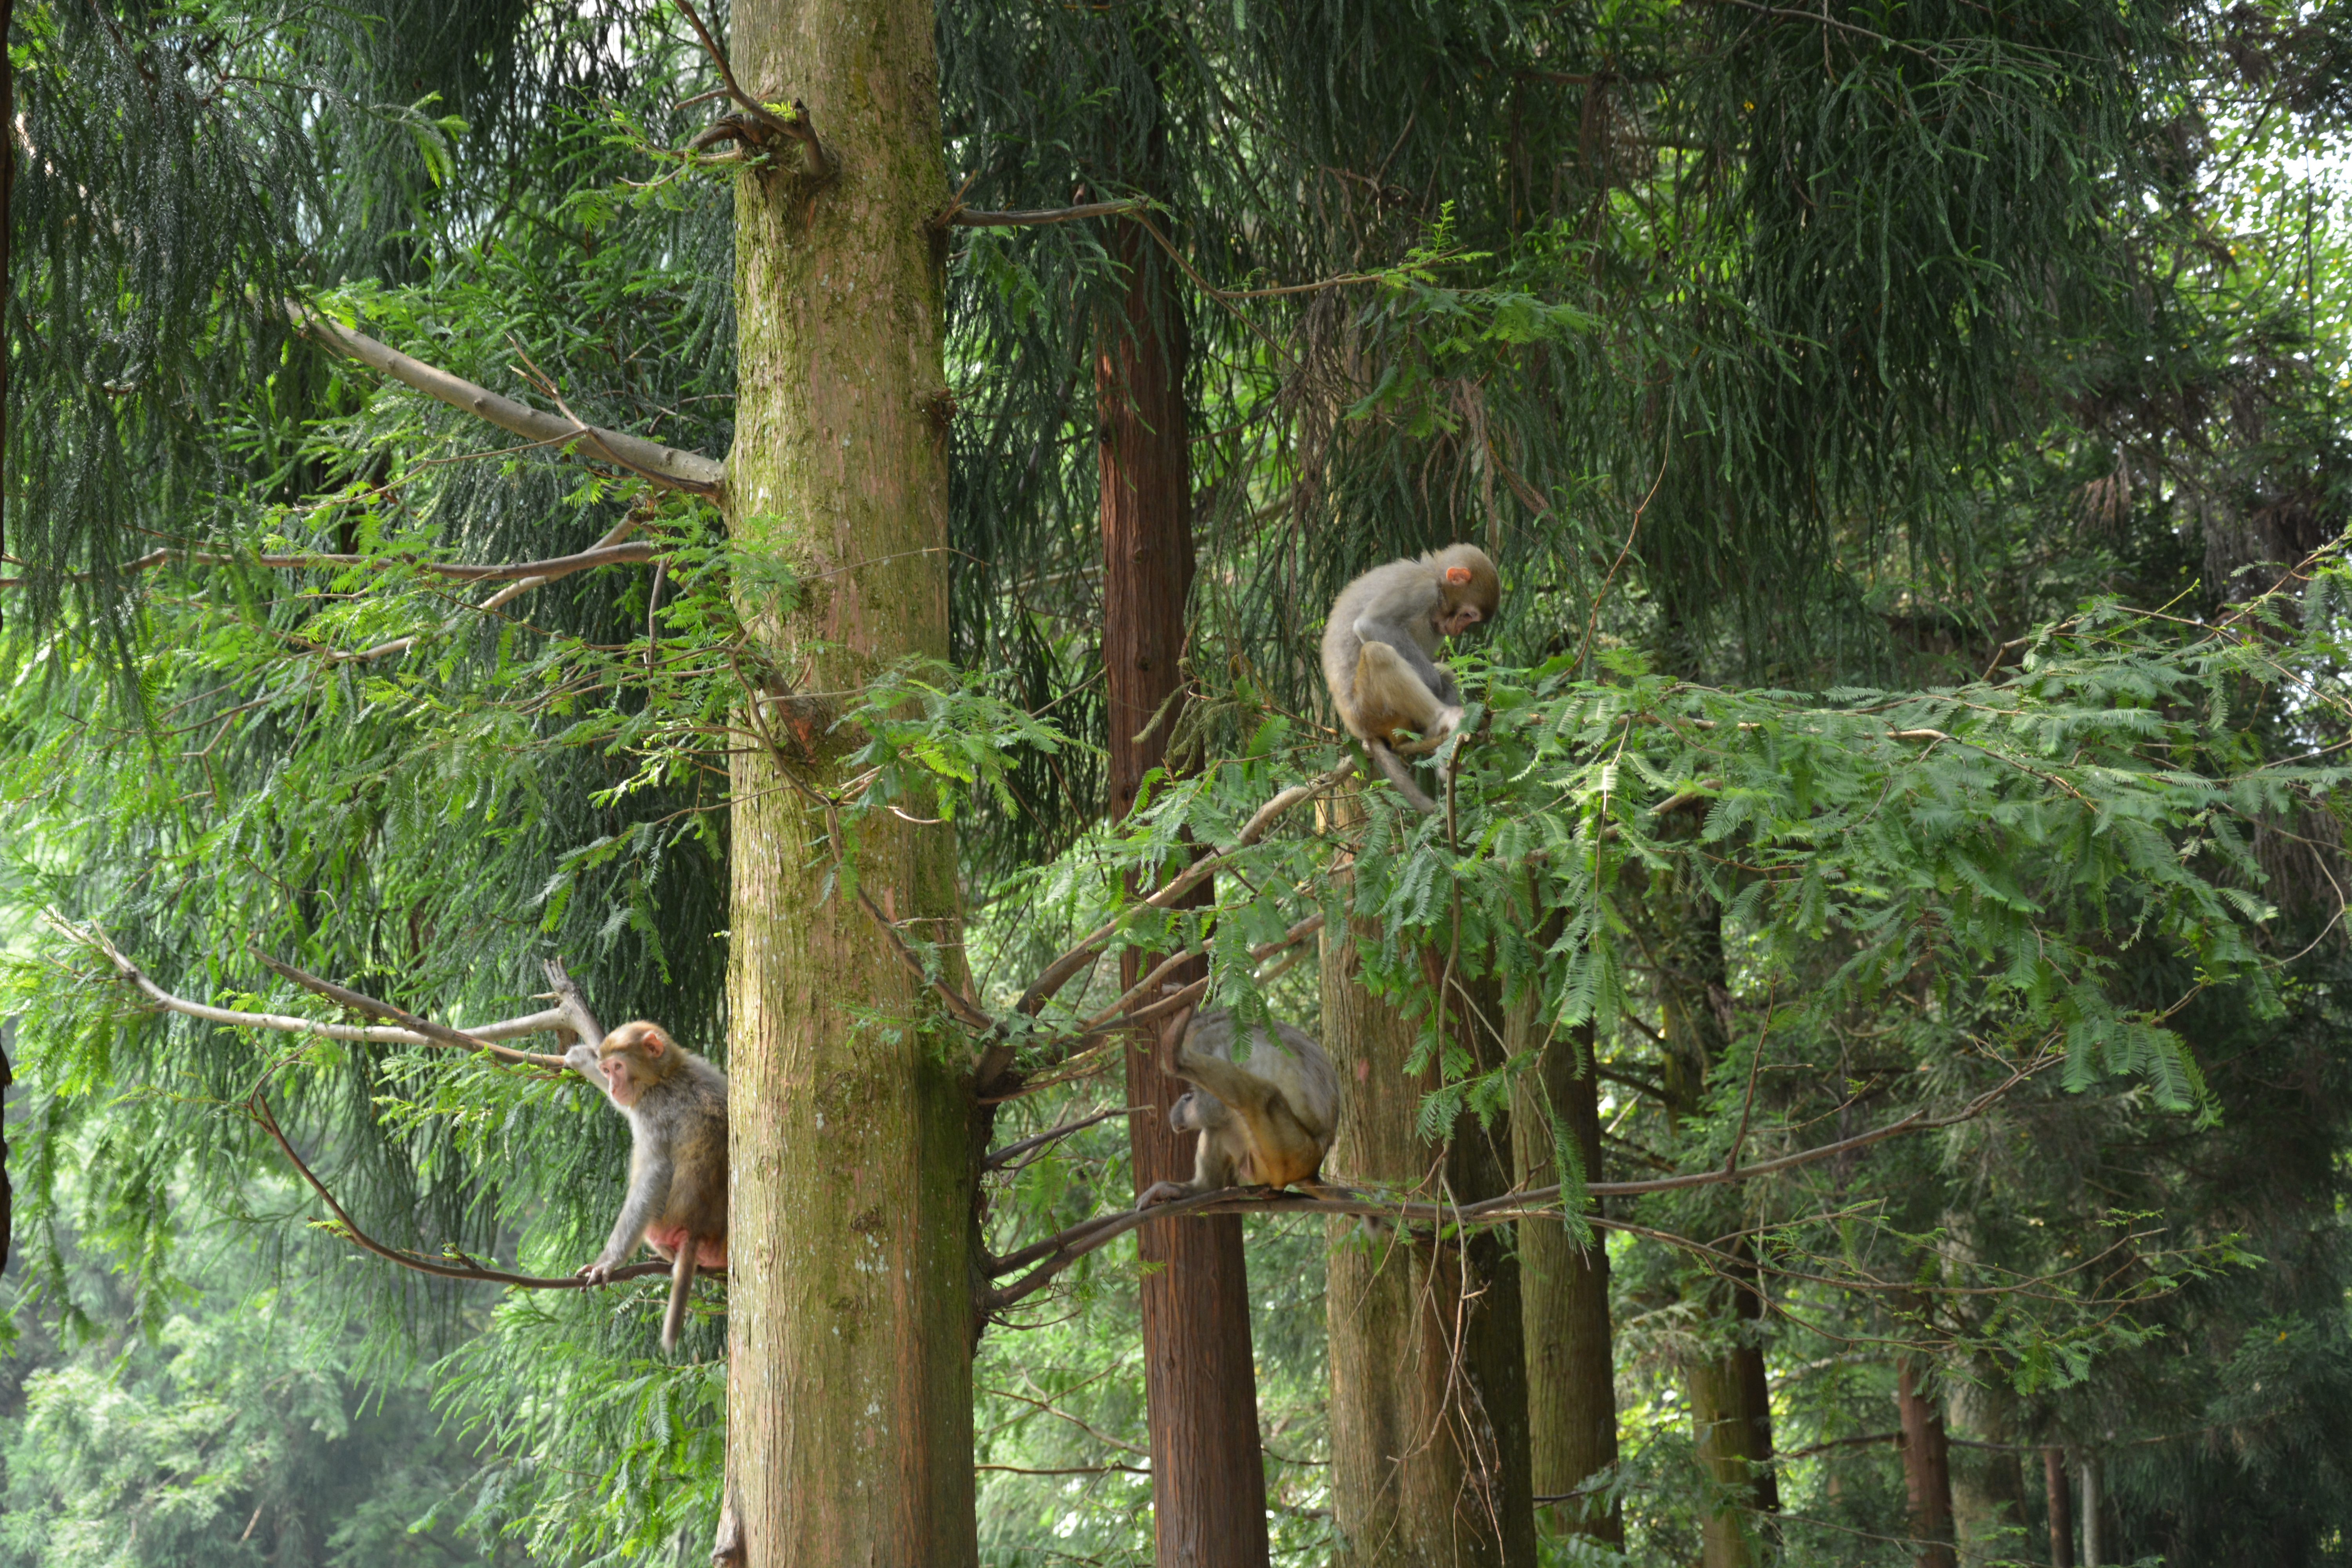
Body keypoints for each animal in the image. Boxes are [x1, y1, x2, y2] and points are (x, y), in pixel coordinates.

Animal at [567, 1025, 724, 1354]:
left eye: (618, 1068)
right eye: (607, 1070)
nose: (613, 1086)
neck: (669, 1073)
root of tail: (698, 1231)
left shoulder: (651, 1109)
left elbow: (655, 1173)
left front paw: (608, 1262)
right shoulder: (706, 1067)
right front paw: (582, 1058)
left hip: (663, 1225)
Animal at [1138, 1006, 1345, 1213]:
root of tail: (1312, 1170)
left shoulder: (1205, 1040)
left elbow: (1216, 1107)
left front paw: (1181, 1110)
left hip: (1292, 1153)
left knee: (1262, 1097)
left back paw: (1175, 1057)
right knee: (1222, 1124)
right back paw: (1204, 1188)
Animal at [1317, 543, 1496, 818]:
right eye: (1468, 615)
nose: (1457, 630)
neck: (1433, 575)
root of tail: (1362, 732)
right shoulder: (1421, 589)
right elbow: (1372, 625)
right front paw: (1436, 686)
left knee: (1442, 669)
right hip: (1371, 710)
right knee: (1377, 653)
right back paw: (1443, 718)